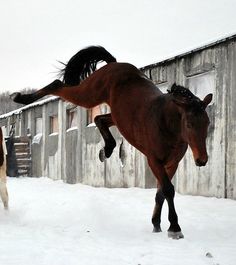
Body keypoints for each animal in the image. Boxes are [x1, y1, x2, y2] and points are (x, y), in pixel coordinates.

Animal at [11, 45, 212, 237]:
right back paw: (20, 97)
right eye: (189, 124)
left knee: (99, 118)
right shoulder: (154, 161)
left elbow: (161, 193)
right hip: (89, 94)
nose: (202, 160)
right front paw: (175, 228)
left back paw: (107, 149)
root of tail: (114, 64)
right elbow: (168, 190)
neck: (163, 121)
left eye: (207, 122)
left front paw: (157, 224)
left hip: (116, 115)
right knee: (59, 85)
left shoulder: (171, 163)